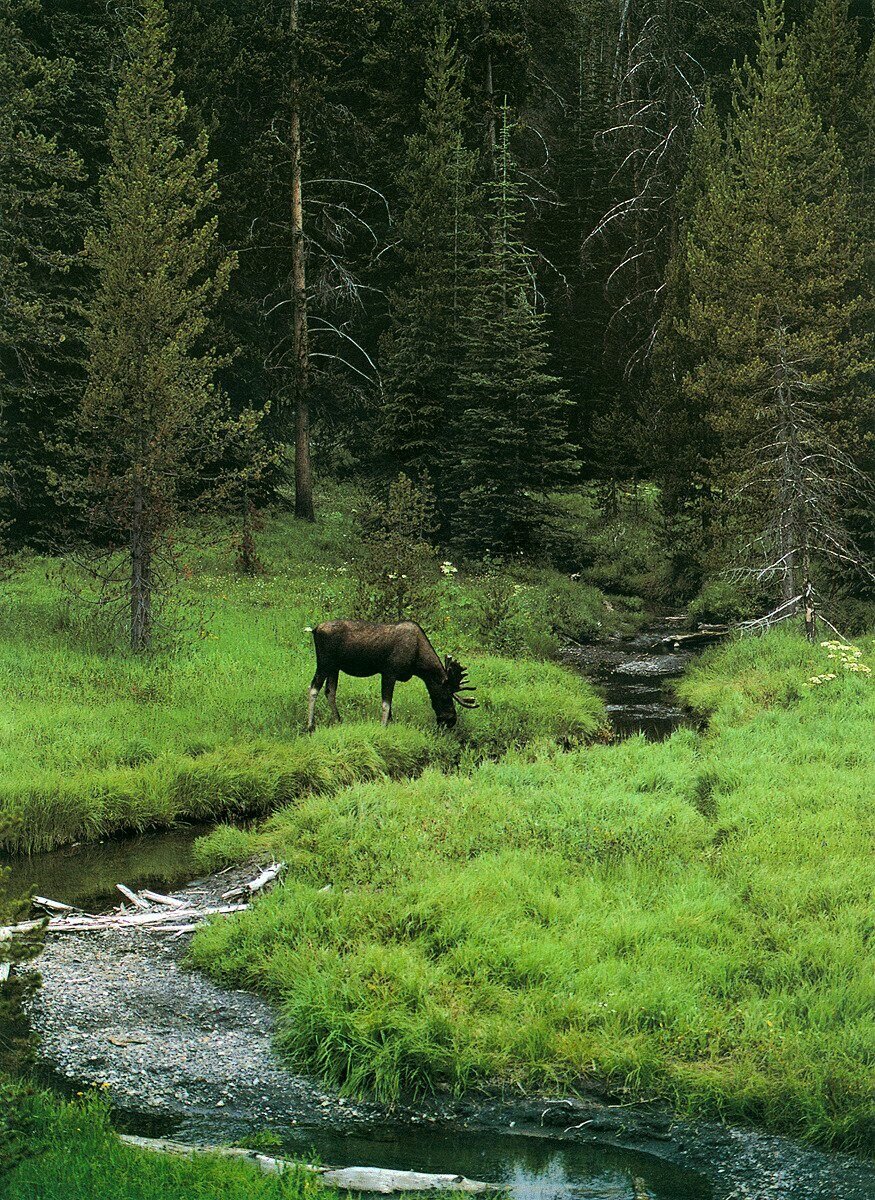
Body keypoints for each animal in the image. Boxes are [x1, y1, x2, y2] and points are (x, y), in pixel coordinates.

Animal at [303, 619, 475, 729]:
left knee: (330, 691)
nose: (451, 720)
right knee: (313, 688)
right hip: (324, 663)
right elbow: (386, 704)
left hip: (334, 667)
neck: (418, 664)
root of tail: (315, 630)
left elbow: (390, 705)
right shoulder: (389, 672)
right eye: (445, 696)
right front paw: (383, 726)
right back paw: (310, 725)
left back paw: (339, 720)